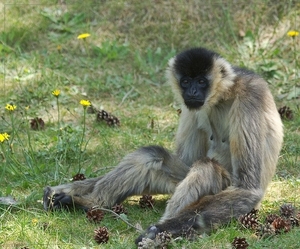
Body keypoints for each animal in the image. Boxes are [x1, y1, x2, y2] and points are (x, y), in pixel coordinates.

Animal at [43, 46, 282, 243]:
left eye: (201, 81)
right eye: (185, 81)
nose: (192, 91)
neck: (223, 95)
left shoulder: (250, 96)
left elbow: (247, 187)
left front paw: (160, 231)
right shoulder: (192, 107)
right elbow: (184, 158)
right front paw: (66, 188)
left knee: (207, 168)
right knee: (151, 155)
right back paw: (88, 202)